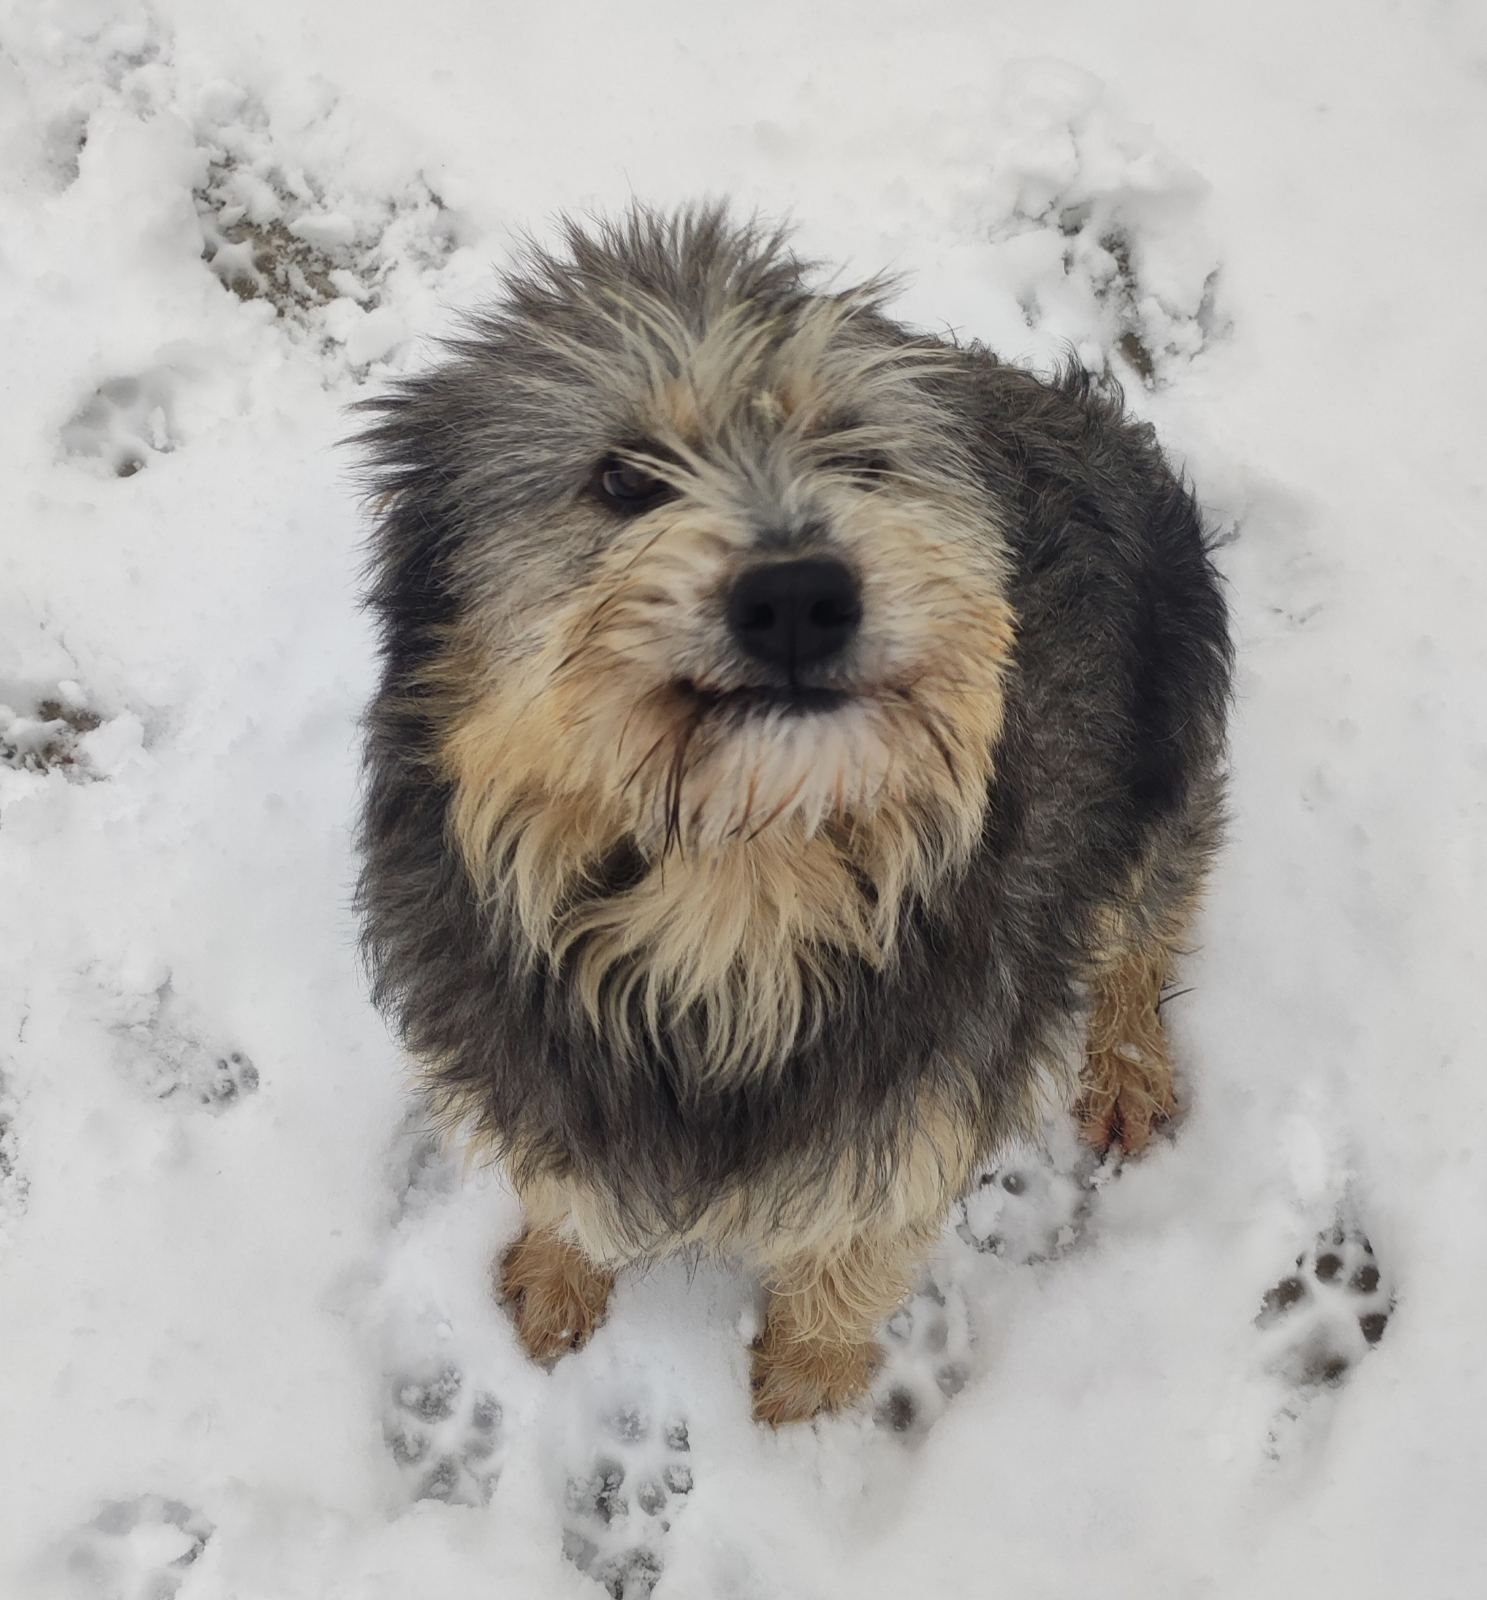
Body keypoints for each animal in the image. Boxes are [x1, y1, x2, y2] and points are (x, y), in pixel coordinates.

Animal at [350, 203, 1229, 1427]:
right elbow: (562, 1177)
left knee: (1145, 925)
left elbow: (853, 1256)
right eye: (623, 479)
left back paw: (1130, 1067)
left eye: (859, 458)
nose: (800, 594)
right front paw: (559, 1276)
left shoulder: (926, 1095)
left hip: (1163, 766)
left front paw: (803, 1403)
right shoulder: (520, 1051)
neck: (735, 882)